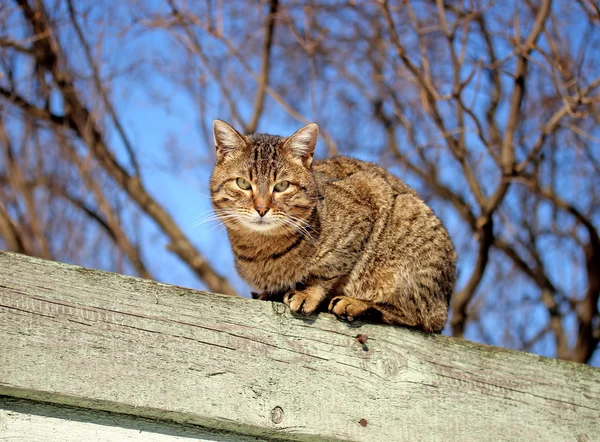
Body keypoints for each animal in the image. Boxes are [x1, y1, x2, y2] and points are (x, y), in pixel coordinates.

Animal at [210, 119, 454, 334]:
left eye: (281, 186)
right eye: (243, 183)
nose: (261, 208)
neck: (262, 250)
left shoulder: (366, 198)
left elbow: (327, 269)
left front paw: (307, 292)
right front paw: (271, 293)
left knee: (420, 318)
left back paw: (357, 304)